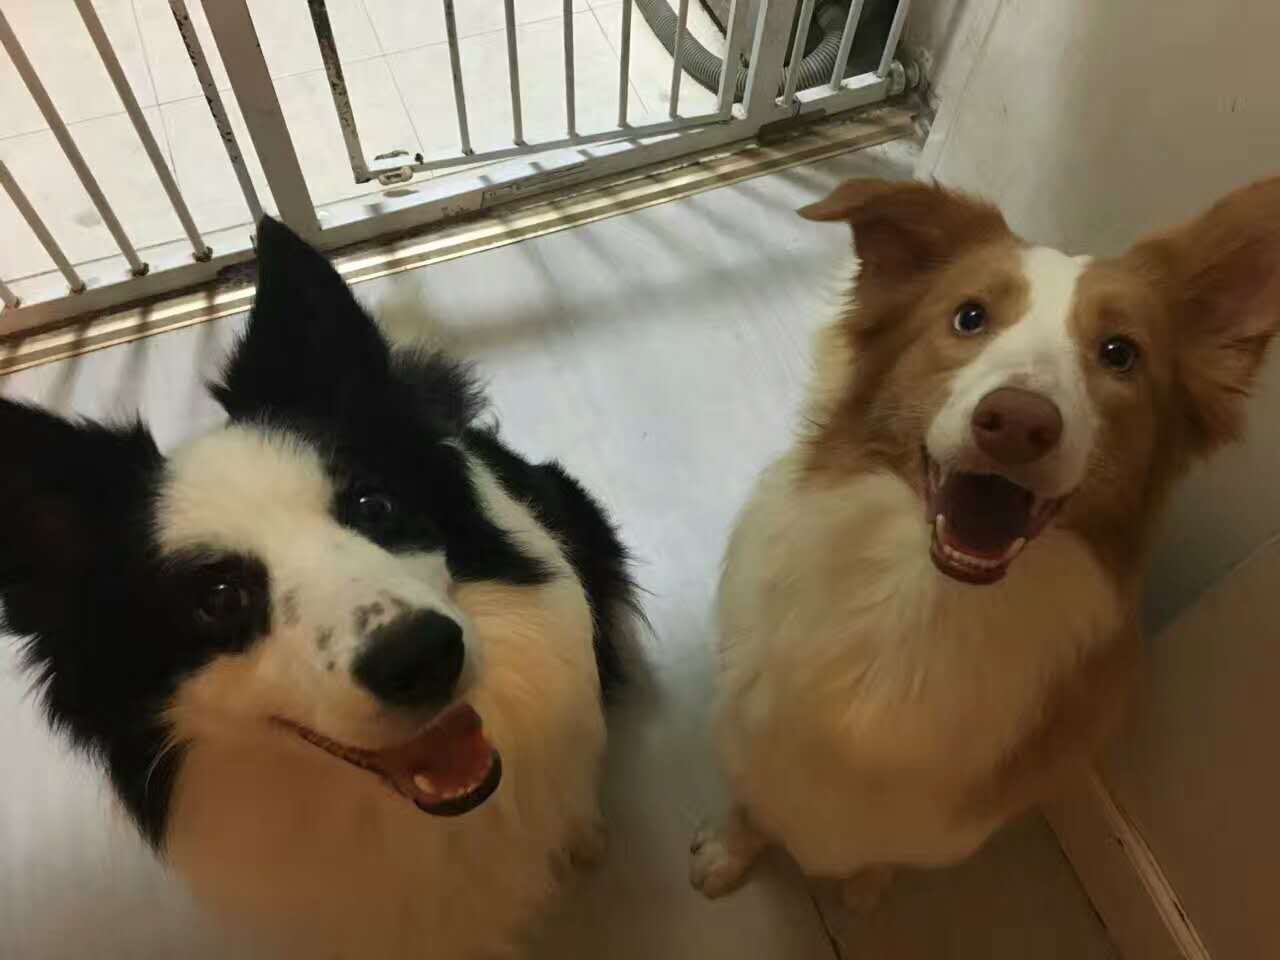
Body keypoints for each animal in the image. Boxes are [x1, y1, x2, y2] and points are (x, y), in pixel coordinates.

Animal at [690, 177, 1280, 907]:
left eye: (1121, 353)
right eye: (969, 317)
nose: (1019, 423)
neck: (926, 611)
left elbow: (878, 851)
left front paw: (864, 885)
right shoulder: (752, 734)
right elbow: (752, 803)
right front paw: (726, 852)